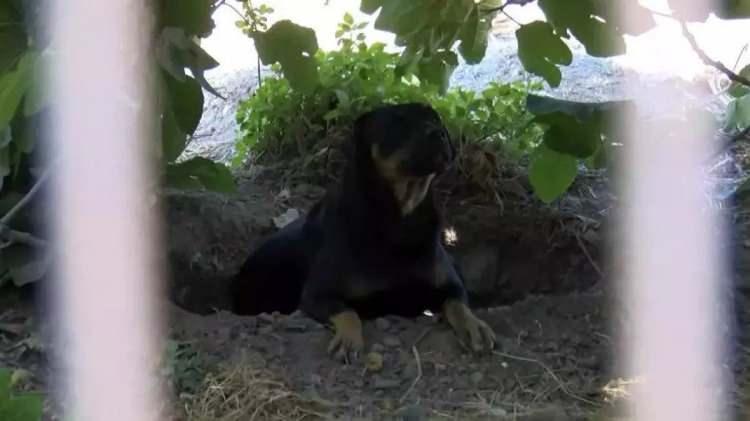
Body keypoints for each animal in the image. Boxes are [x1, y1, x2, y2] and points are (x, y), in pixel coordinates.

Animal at [232, 103, 496, 360]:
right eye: (397, 121)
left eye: (434, 119)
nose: (439, 133)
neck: (399, 219)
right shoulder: (317, 295)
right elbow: (347, 311)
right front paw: (349, 338)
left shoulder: (449, 283)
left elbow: (458, 302)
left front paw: (474, 325)